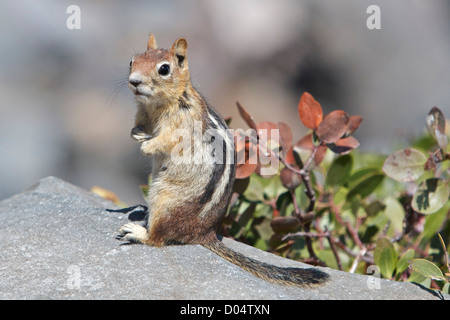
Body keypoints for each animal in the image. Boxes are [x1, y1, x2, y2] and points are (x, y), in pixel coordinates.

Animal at [114, 33, 328, 286]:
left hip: (164, 199)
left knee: (158, 239)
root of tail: (204, 234)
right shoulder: (143, 115)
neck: (157, 106)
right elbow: (139, 128)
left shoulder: (183, 125)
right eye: (132, 61)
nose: (134, 81)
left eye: (164, 69)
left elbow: (167, 140)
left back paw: (138, 231)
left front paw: (147, 146)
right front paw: (136, 134)